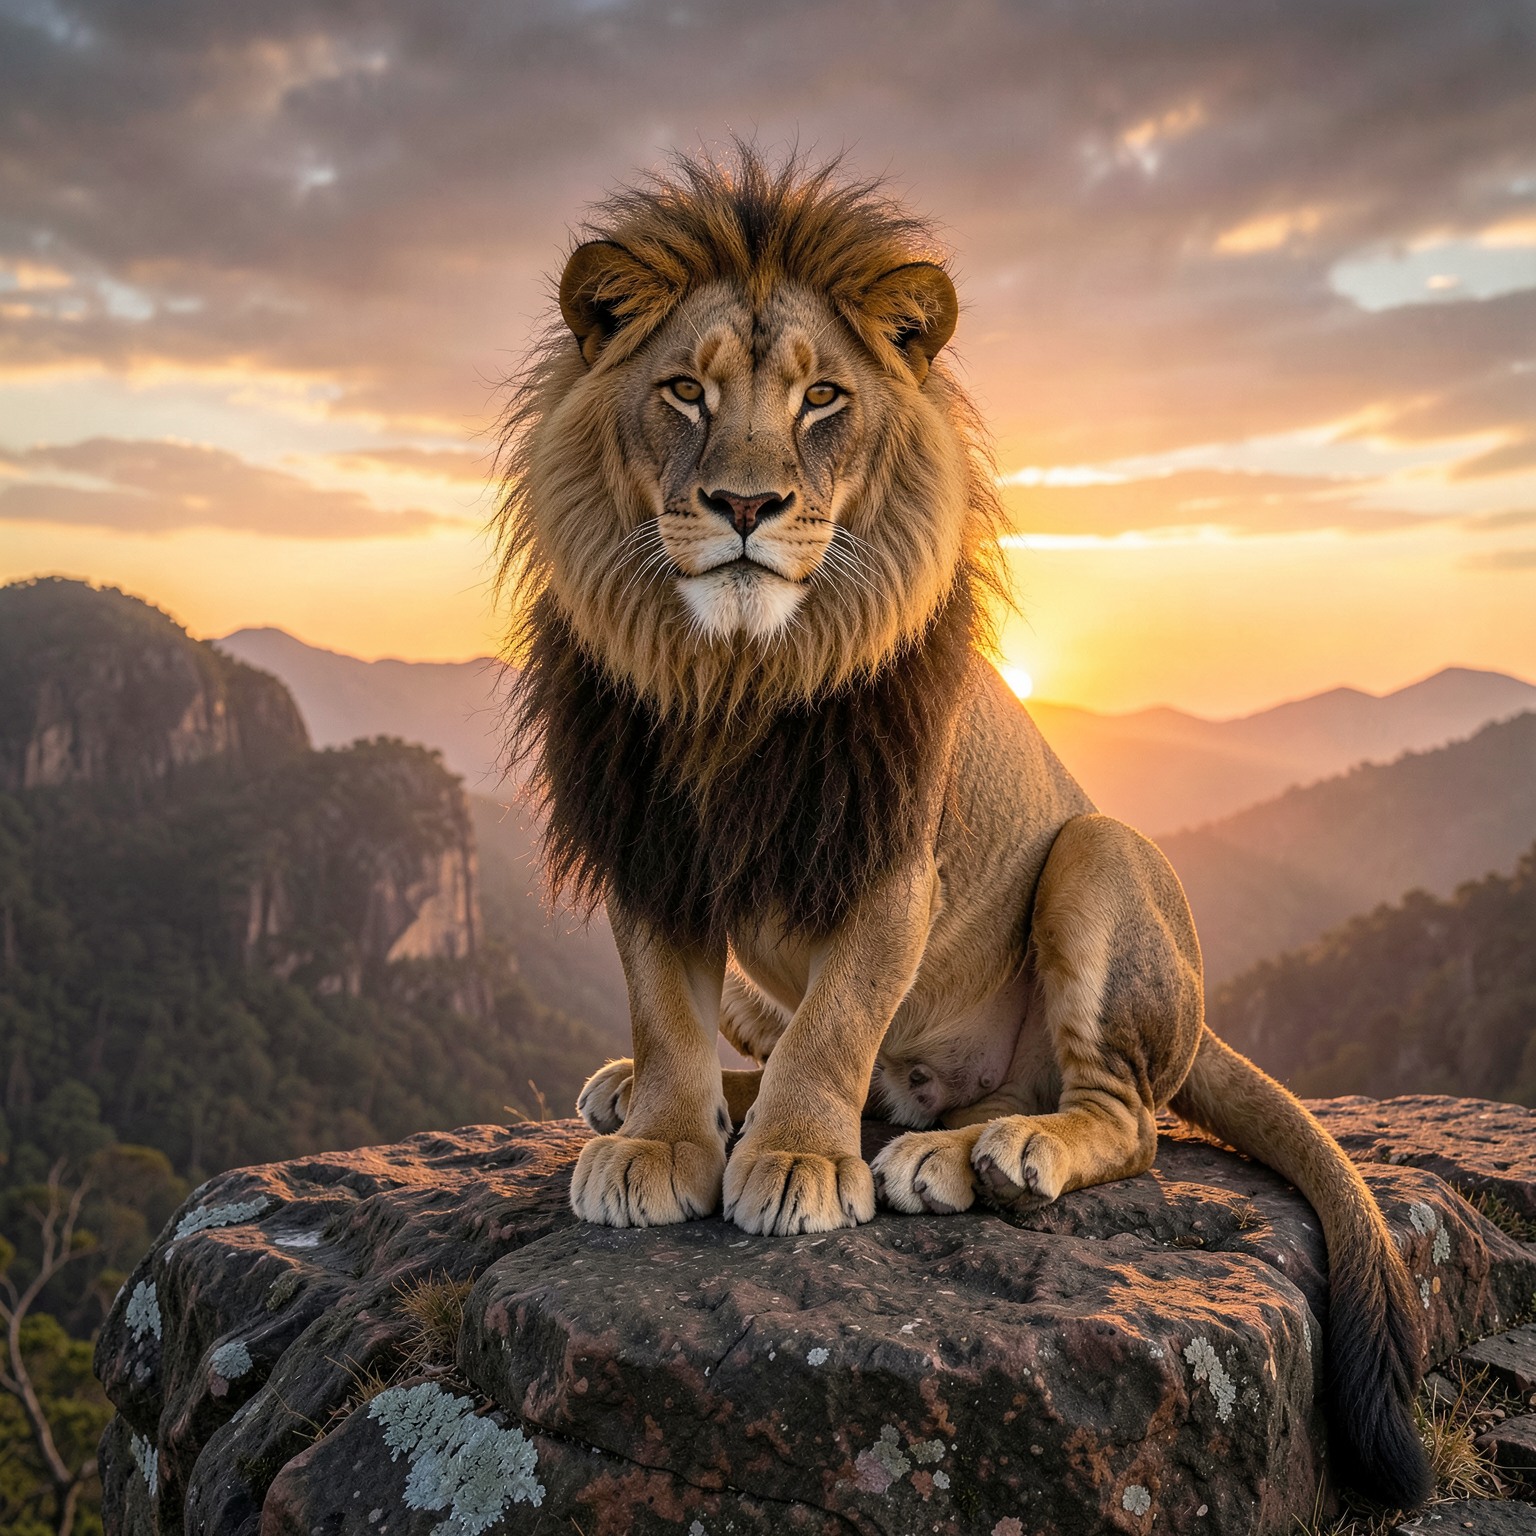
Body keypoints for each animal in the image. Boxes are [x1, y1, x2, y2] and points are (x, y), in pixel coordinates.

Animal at [495, 148, 1429, 1509]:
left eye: (823, 399)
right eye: (683, 391)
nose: (743, 503)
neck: (732, 676)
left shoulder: (894, 860)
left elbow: (839, 1019)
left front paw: (794, 1163)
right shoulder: (653, 841)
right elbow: (665, 1009)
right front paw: (666, 1135)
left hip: (1099, 855)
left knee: (1124, 1120)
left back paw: (978, 1155)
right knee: (851, 1072)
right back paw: (698, 1107)